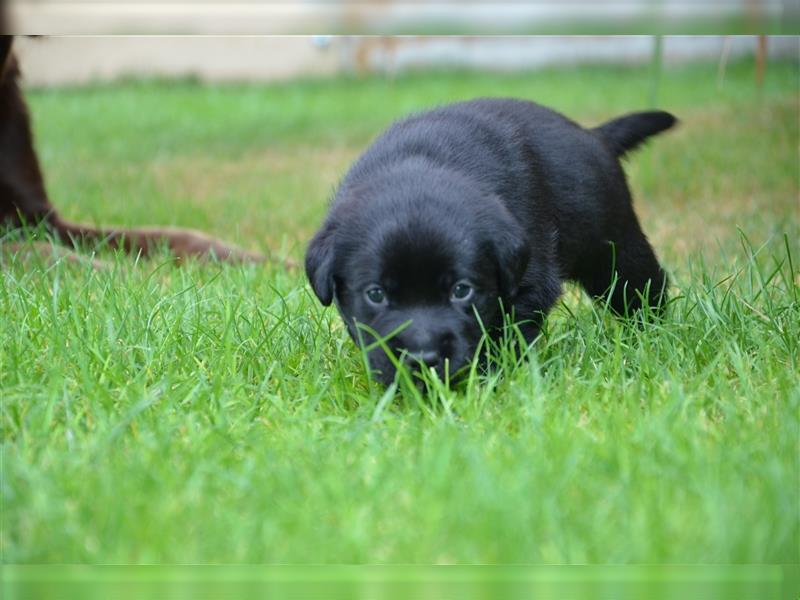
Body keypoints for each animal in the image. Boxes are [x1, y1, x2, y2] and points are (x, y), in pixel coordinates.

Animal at [306, 98, 676, 384]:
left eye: (462, 290)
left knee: (644, 285)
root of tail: (593, 136)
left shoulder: (529, 284)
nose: (424, 358)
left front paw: (486, 379)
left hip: (613, 249)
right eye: (376, 295)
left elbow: (505, 336)